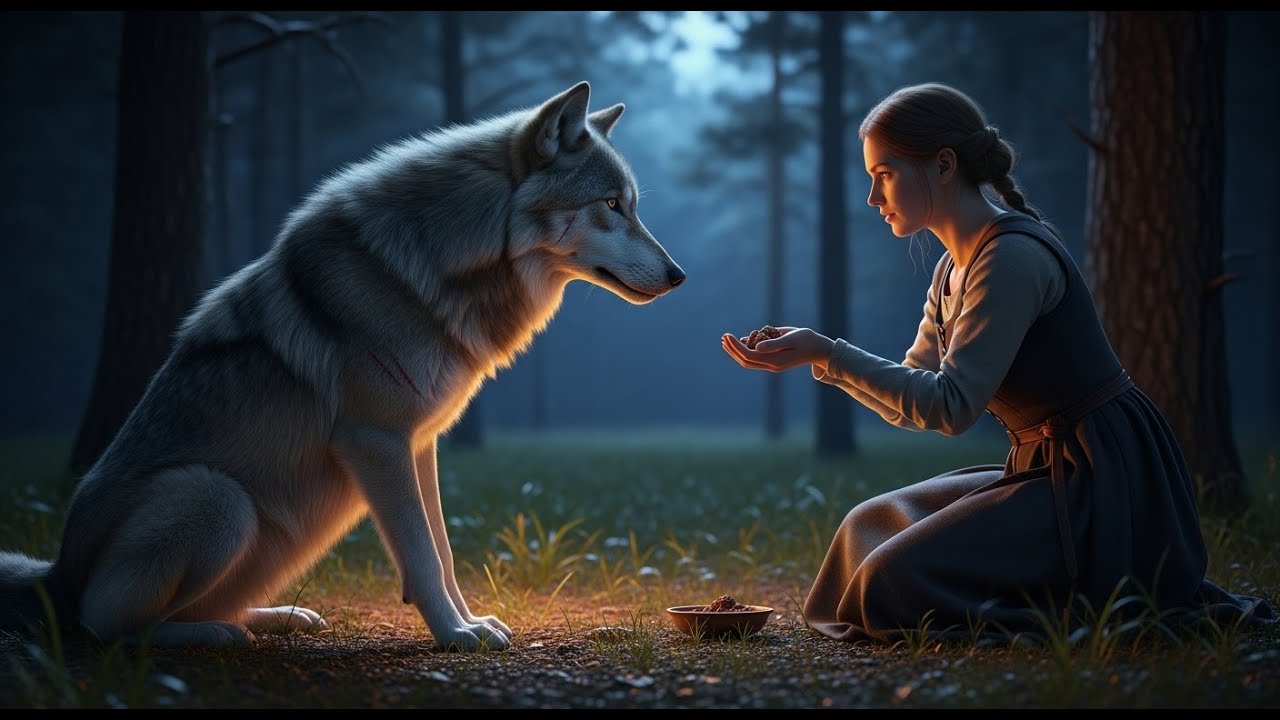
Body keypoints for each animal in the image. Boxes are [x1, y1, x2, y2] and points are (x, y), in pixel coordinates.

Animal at [0, 81, 685, 651]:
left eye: (632, 205)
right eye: (612, 205)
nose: (679, 276)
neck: (442, 262)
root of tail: (55, 574)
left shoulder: (420, 443)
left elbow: (442, 550)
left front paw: (472, 621)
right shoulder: (376, 440)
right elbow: (422, 555)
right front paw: (454, 635)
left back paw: (273, 619)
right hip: (215, 497)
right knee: (109, 630)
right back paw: (216, 637)